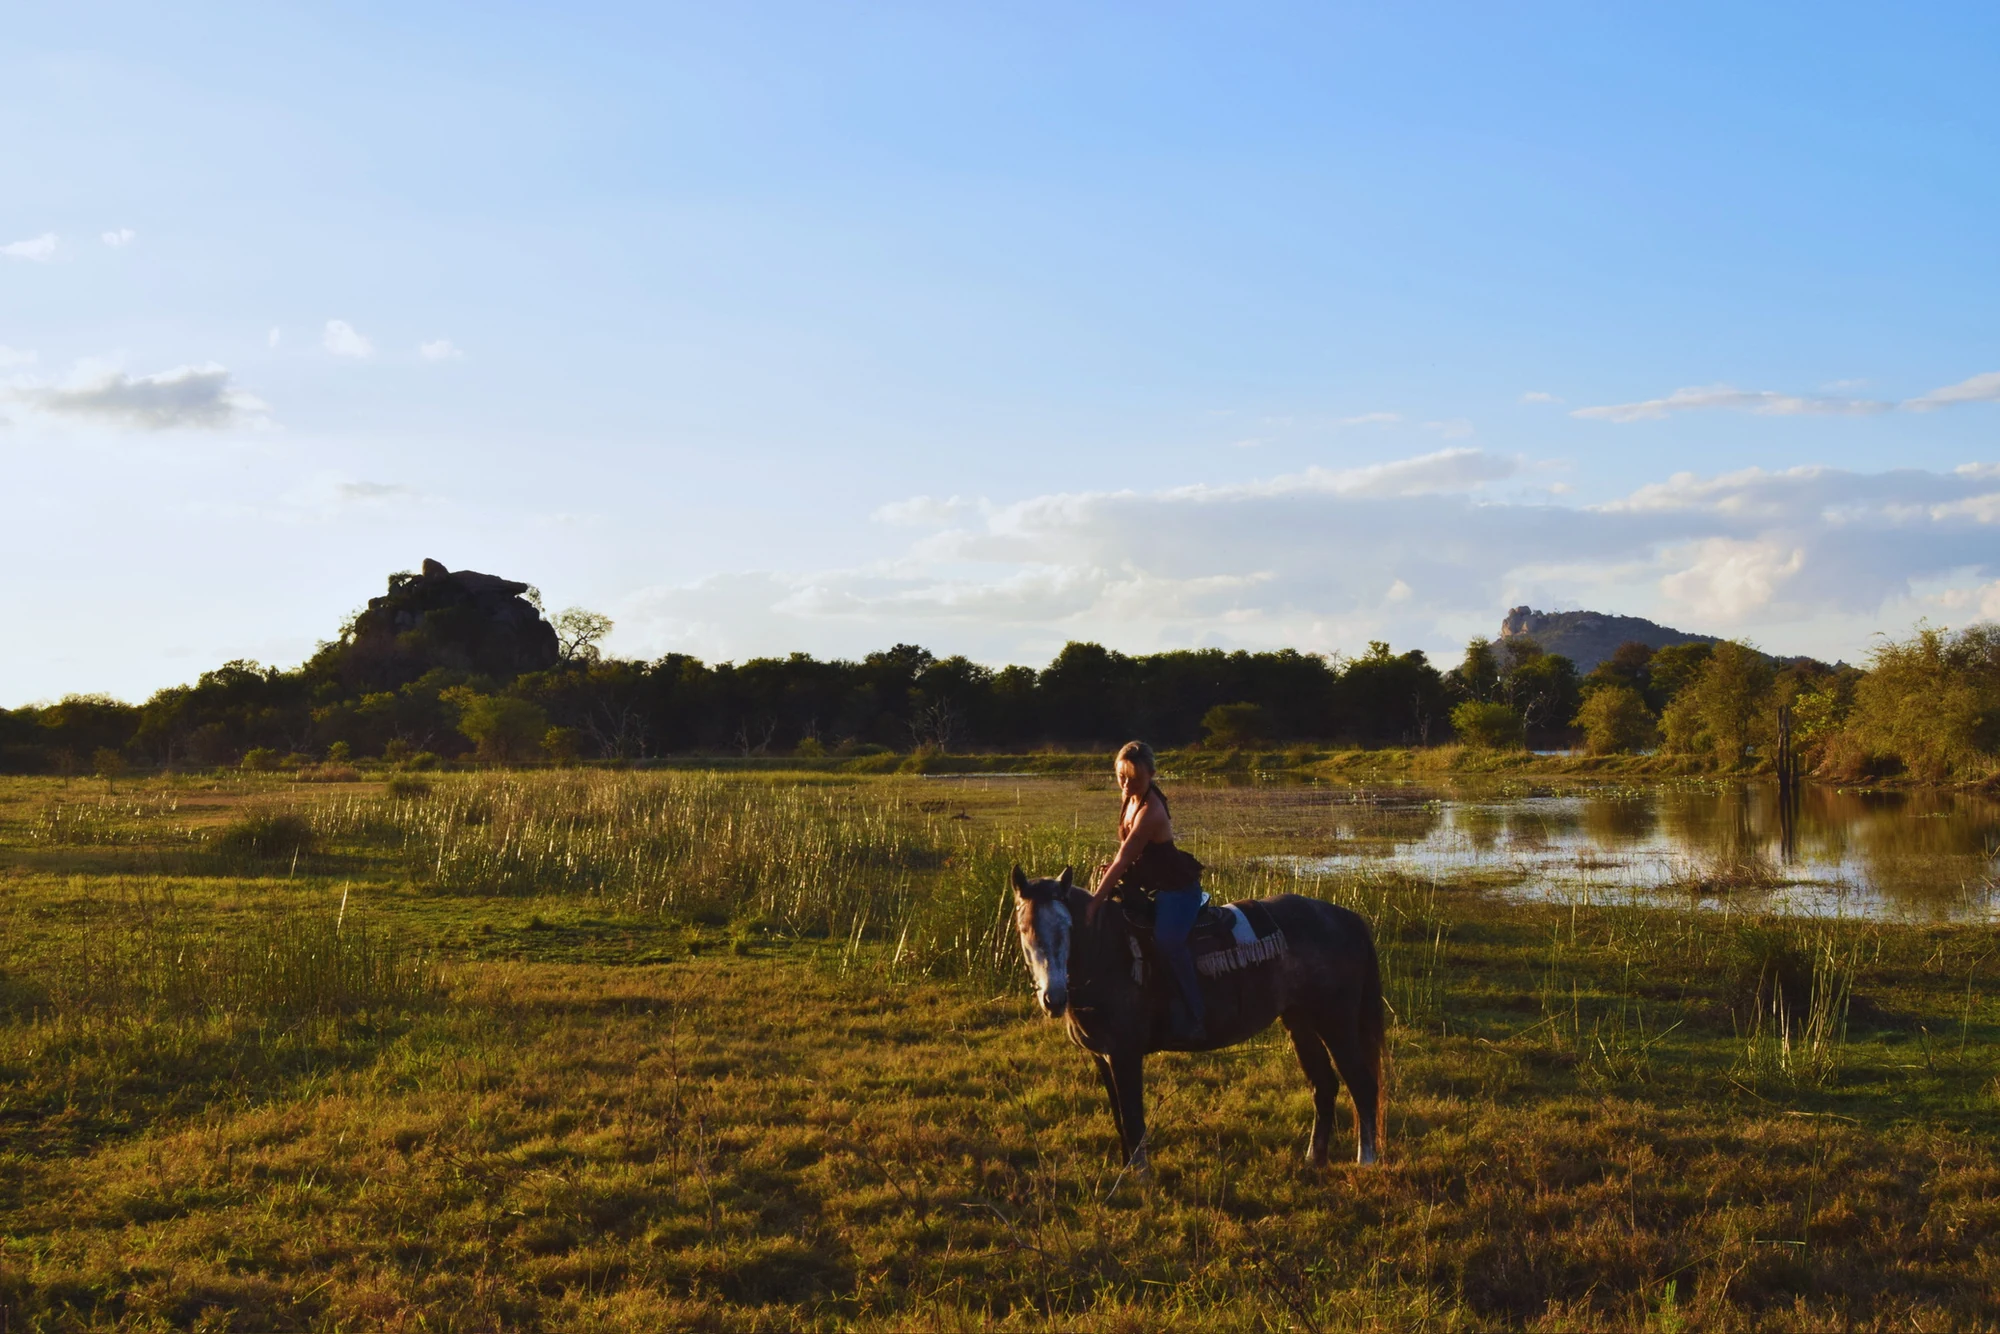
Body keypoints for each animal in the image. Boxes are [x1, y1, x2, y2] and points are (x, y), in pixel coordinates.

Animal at [1010, 865, 1385, 1170]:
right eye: (1025, 928)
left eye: (1067, 927)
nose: (1054, 998)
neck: (1109, 951)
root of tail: (1345, 918)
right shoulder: (1102, 1057)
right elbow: (1119, 1117)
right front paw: (1126, 1171)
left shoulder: (1125, 1055)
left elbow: (1132, 1118)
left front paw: (1140, 1175)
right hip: (1301, 1023)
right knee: (1324, 1086)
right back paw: (1314, 1159)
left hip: (1336, 1023)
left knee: (1362, 1084)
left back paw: (1365, 1160)